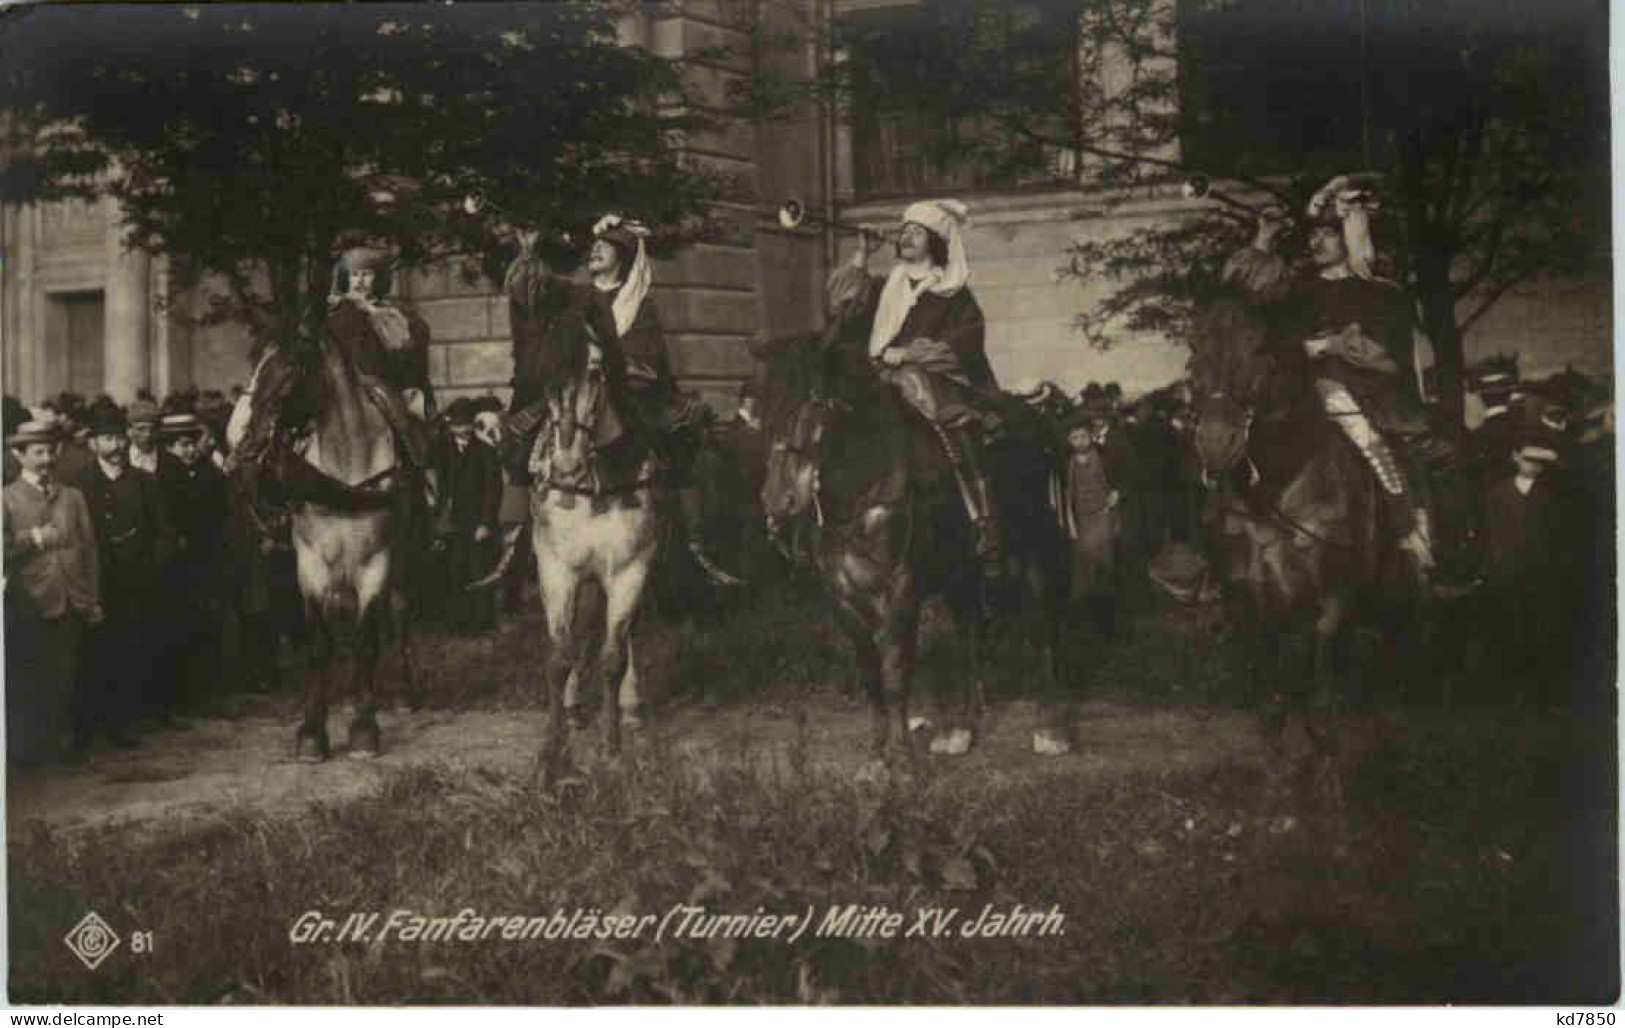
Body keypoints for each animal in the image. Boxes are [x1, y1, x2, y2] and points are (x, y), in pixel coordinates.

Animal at [747, 332, 1066, 773]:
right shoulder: (842, 598)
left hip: (1033, 551)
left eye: (811, 403)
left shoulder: (902, 590)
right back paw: (961, 728)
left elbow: (896, 672)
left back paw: (1050, 727)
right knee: (969, 637)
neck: (866, 486)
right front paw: (876, 756)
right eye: (763, 408)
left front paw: (902, 760)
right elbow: (871, 677)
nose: (778, 500)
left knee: (1043, 625)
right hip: (961, 573)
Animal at [1183, 297, 1423, 714]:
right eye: (1194, 350)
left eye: (1260, 351)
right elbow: (1270, 694)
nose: (1216, 443)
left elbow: (1320, 690)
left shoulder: (1332, 601)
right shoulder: (1250, 604)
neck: (1272, 494)